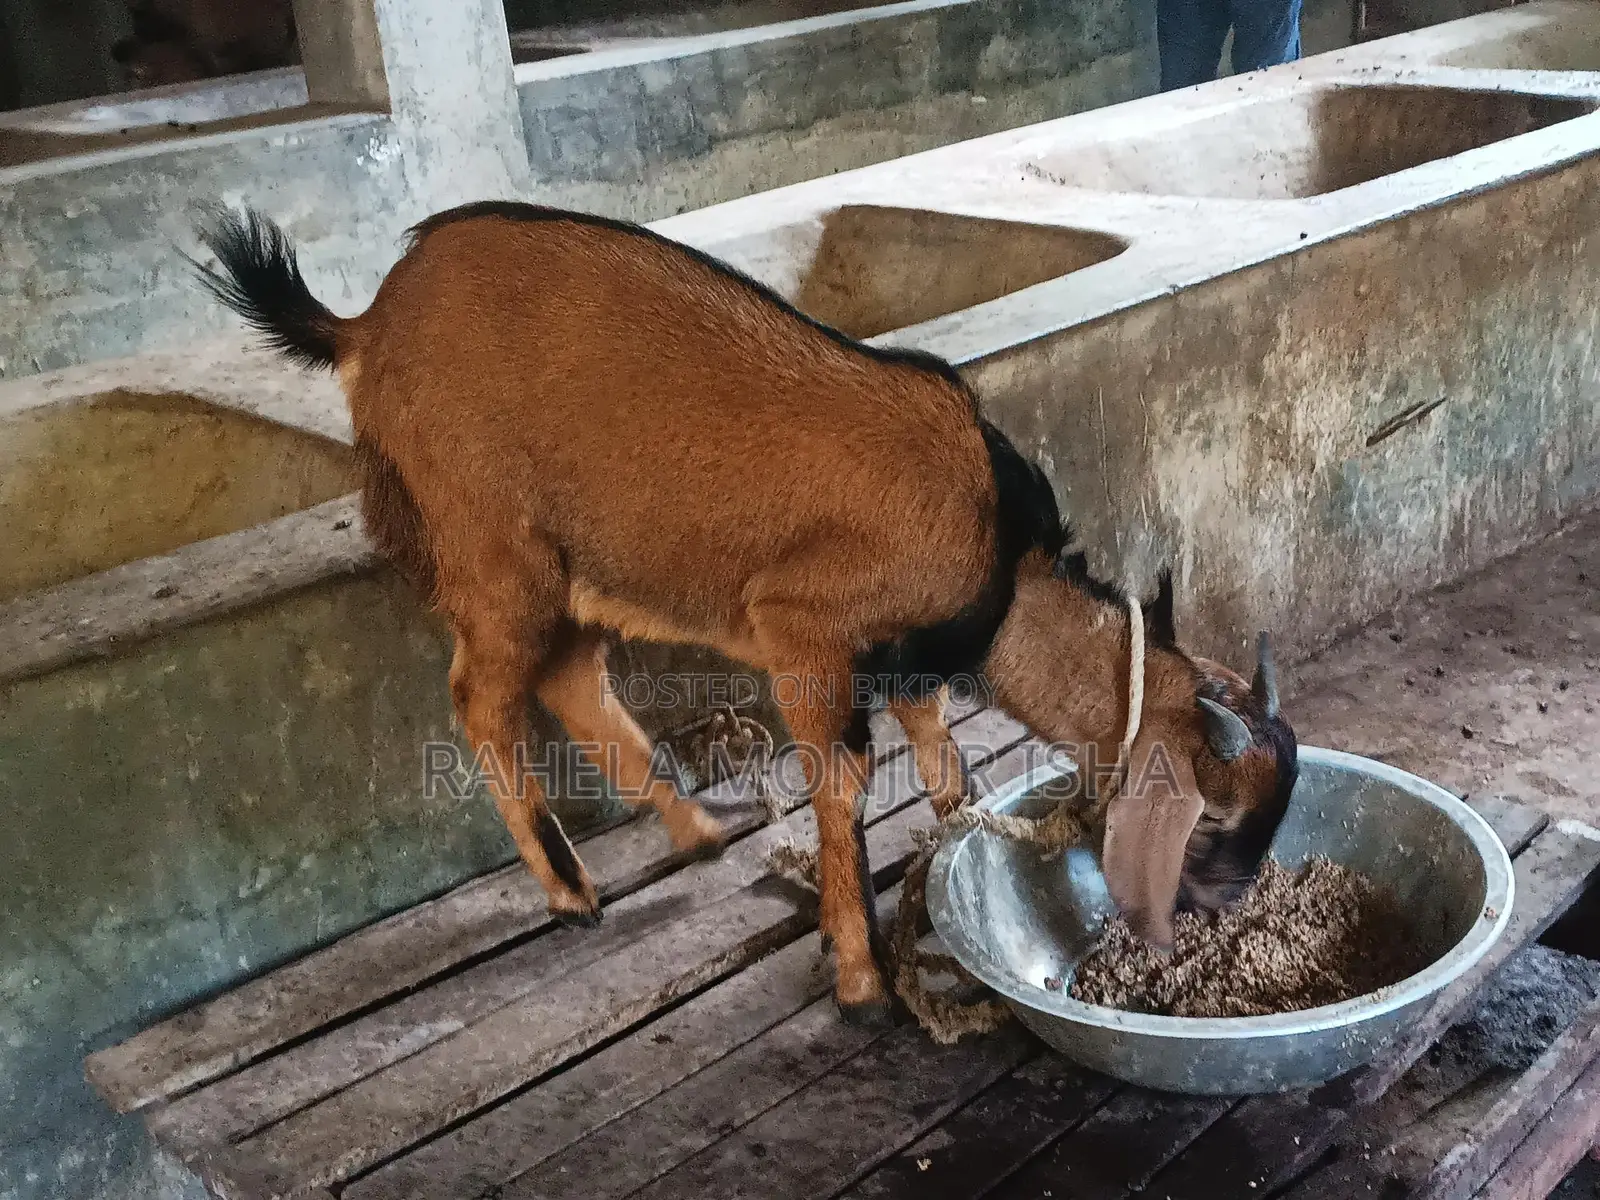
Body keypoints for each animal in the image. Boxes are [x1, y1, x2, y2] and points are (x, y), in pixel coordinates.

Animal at [191, 202, 1298, 1025]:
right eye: (1213, 820)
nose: (1221, 910)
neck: (1001, 559)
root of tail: (362, 325)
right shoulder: (803, 624)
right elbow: (842, 778)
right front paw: (860, 979)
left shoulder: (901, 657)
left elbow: (943, 755)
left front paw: (949, 851)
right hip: (494, 540)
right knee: (482, 694)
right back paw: (570, 889)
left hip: (581, 561)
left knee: (567, 673)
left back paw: (701, 828)